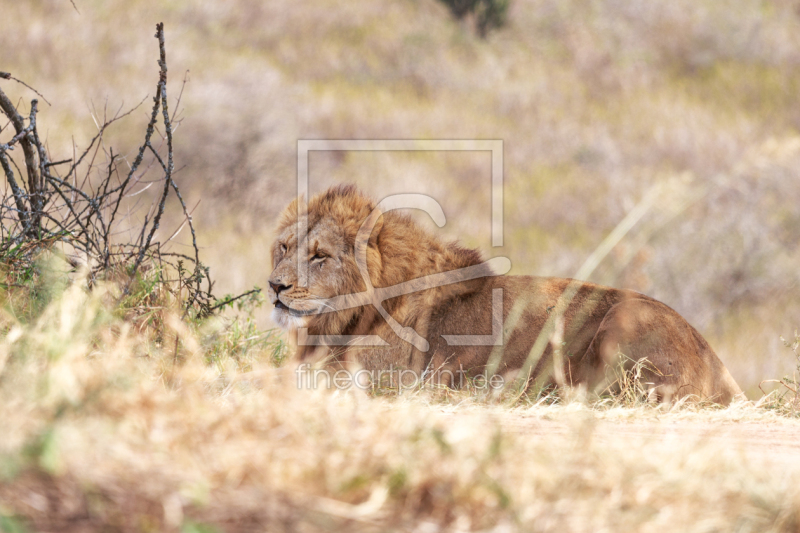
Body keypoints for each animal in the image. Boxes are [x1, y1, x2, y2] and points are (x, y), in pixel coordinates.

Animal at [268, 184, 744, 404]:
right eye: (284, 248)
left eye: (320, 256)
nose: (275, 286)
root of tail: (718, 365)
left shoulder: (379, 377)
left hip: (624, 326)